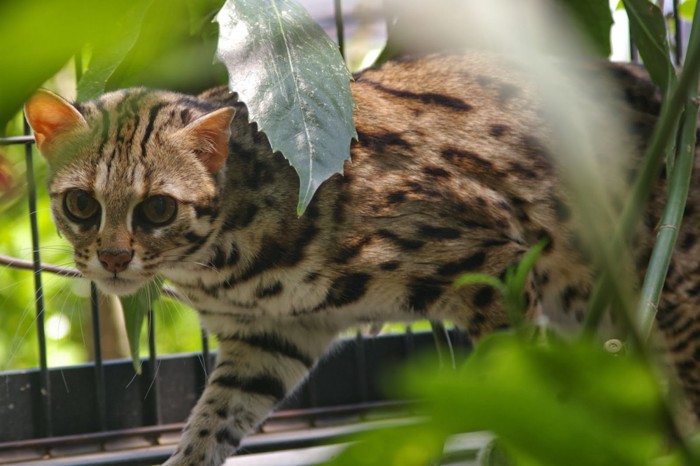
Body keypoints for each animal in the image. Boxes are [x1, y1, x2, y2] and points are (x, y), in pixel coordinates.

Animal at [24, 52, 696, 466]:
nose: (112, 259)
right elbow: (211, 421)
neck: (221, 267)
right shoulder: (270, 337)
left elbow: (515, 384)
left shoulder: (494, 260)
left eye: (158, 209)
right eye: (81, 204)